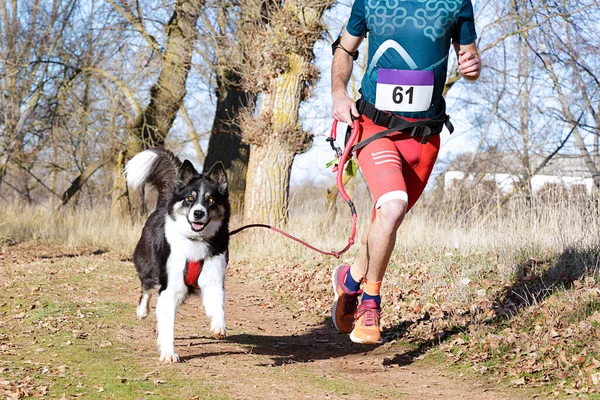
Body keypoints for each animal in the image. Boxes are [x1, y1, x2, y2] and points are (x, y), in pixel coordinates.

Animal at [124, 148, 230, 364]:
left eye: (210, 200)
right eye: (190, 198)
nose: (198, 213)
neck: (195, 240)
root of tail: (163, 203)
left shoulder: (214, 277)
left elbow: (218, 303)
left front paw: (218, 325)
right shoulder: (170, 288)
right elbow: (167, 325)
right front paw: (168, 353)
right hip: (151, 270)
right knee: (146, 289)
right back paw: (142, 311)